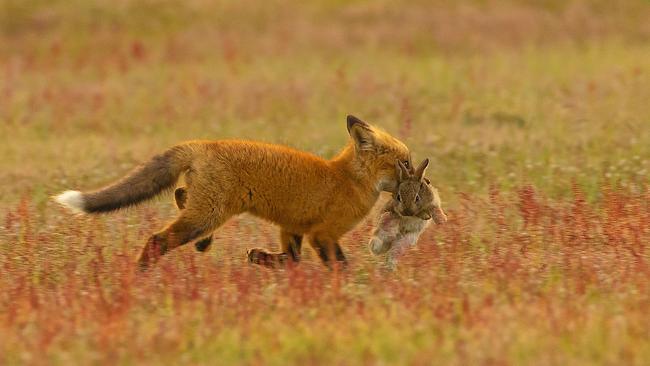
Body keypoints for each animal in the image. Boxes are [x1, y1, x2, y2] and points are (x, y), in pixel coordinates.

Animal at [54, 116, 410, 270]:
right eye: (404, 163)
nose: (419, 180)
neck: (347, 178)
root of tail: (204, 144)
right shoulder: (323, 234)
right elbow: (338, 266)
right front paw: (351, 292)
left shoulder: (293, 227)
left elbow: (291, 260)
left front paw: (262, 259)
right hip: (208, 213)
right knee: (158, 239)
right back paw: (140, 272)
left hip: (207, 208)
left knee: (180, 194)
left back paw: (203, 244)